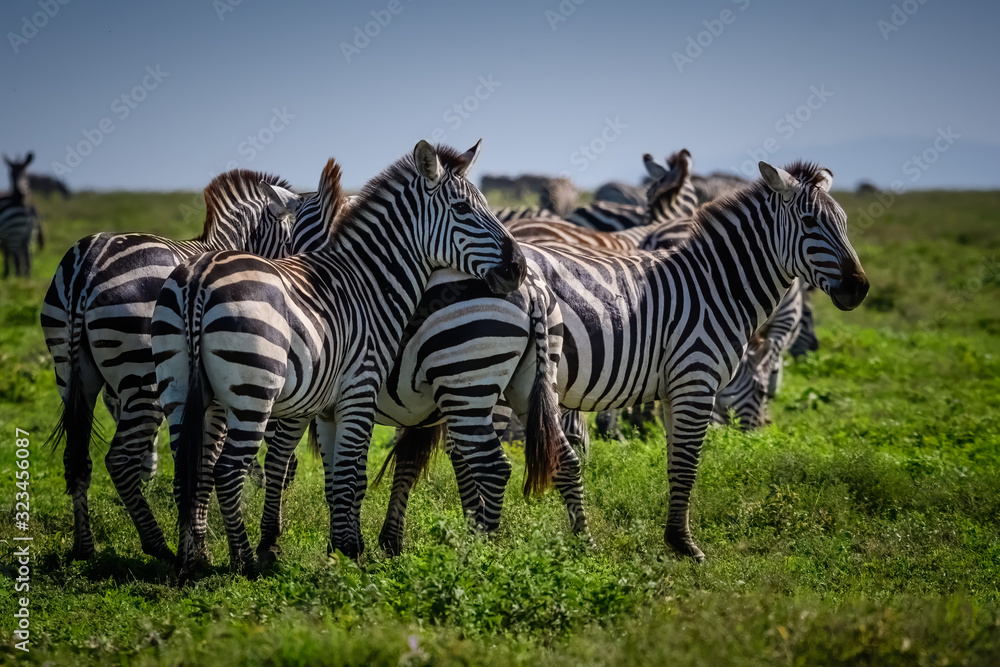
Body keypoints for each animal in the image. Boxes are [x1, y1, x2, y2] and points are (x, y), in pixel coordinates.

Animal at [40, 169, 301, 562]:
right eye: (289, 235)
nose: (292, 476)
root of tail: (88, 263)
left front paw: (197, 542)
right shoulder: (212, 396)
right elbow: (203, 463)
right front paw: (200, 545)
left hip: (68, 373)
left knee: (76, 458)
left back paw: (85, 547)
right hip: (141, 378)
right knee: (119, 461)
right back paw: (157, 544)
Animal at [152, 141, 532, 579]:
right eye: (463, 208)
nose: (517, 269)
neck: (368, 282)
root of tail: (199, 275)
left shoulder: (326, 405)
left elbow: (336, 477)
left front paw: (339, 546)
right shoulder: (355, 392)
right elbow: (345, 474)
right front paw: (346, 550)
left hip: (178, 389)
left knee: (188, 468)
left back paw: (190, 560)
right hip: (254, 395)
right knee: (227, 470)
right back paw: (243, 562)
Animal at [382, 159, 869, 561]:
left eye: (845, 224)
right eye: (810, 222)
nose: (858, 289)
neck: (714, 287)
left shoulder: (675, 388)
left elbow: (675, 461)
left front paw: (675, 537)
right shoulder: (696, 378)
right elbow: (688, 463)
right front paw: (684, 545)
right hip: (483, 376)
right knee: (465, 452)